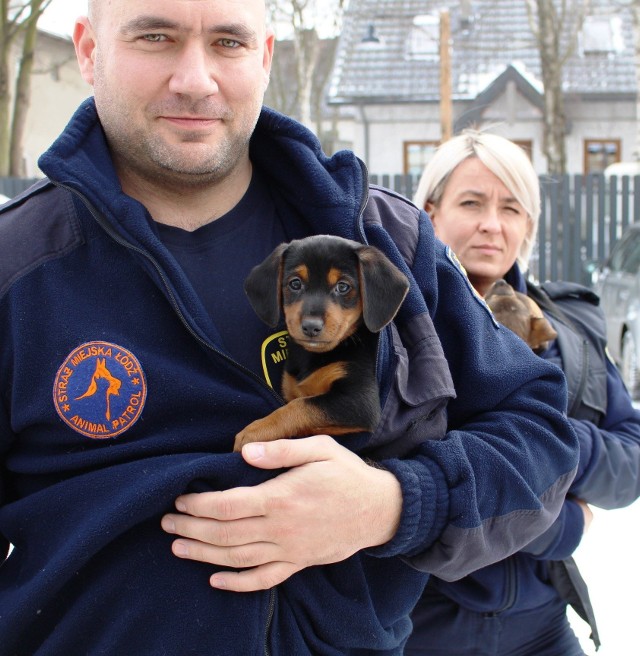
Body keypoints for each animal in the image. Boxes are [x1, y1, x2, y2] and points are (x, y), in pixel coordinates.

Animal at [232, 233, 408, 454]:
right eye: (295, 284)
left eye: (343, 286)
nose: (311, 327)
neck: (314, 356)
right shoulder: (292, 390)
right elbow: (297, 403)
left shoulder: (360, 401)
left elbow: (300, 406)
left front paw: (256, 430)